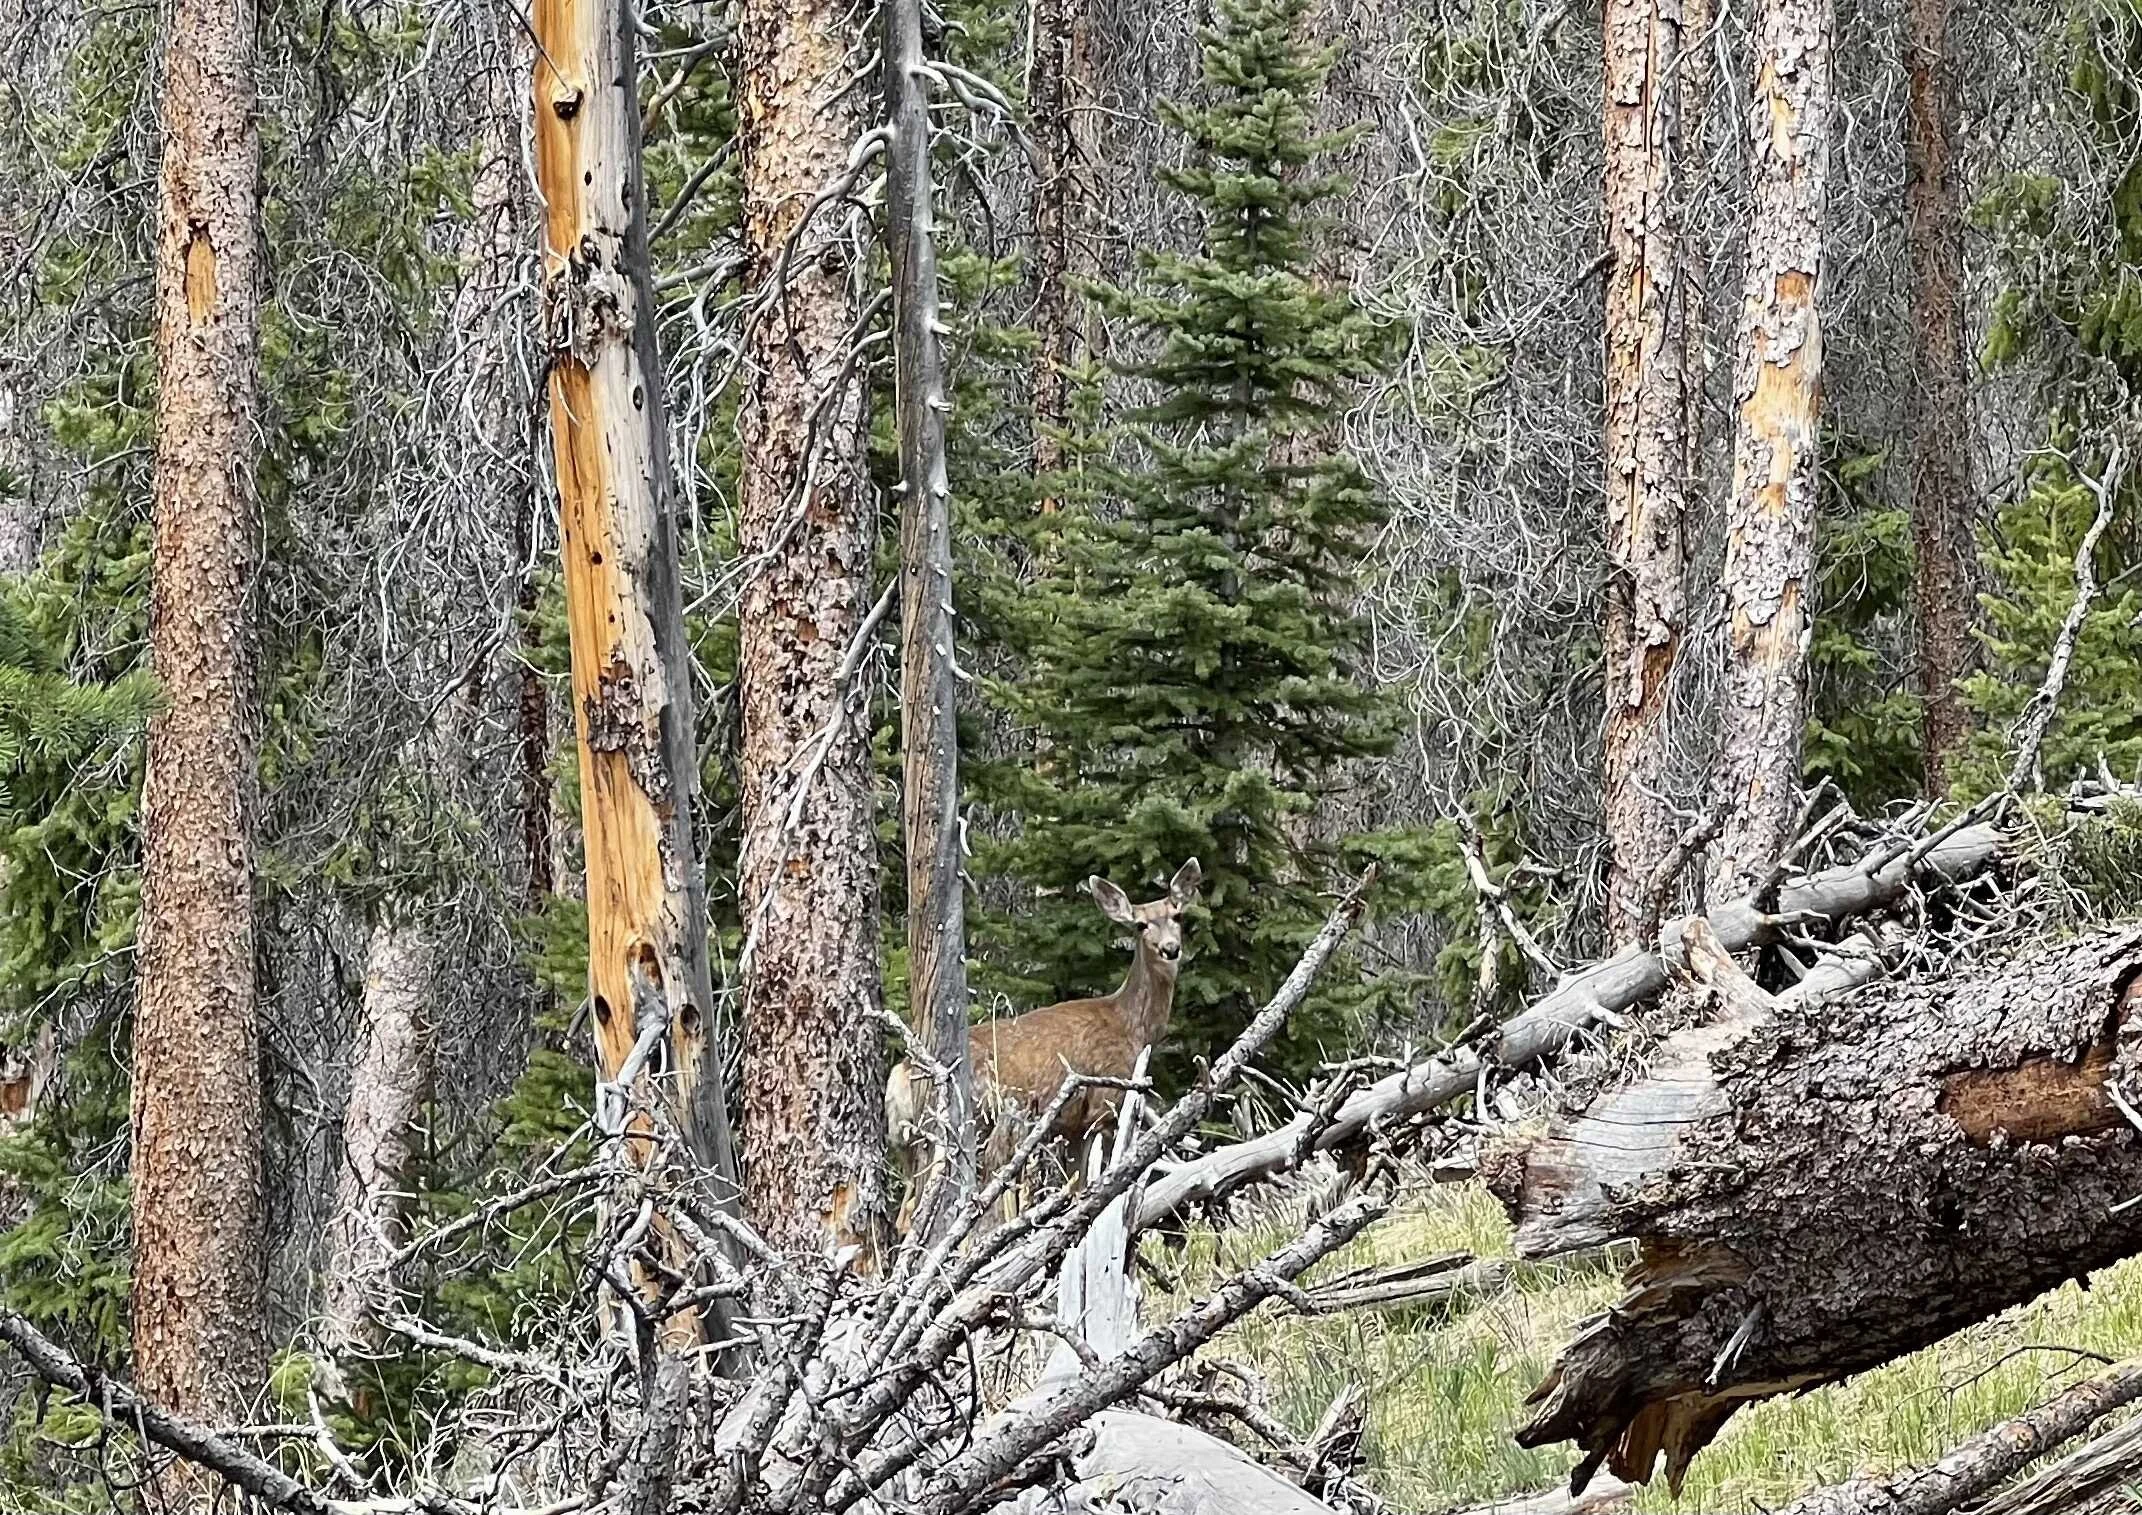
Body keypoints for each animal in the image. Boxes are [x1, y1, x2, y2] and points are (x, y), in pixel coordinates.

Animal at [886, 858, 1202, 1231]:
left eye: (1177, 916)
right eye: (1141, 925)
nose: (1170, 948)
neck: (1132, 1027)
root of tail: (900, 1073)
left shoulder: (1072, 1126)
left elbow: (1077, 1188)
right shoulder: (1101, 1105)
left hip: (908, 1143)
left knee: (906, 1213)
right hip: (972, 1122)